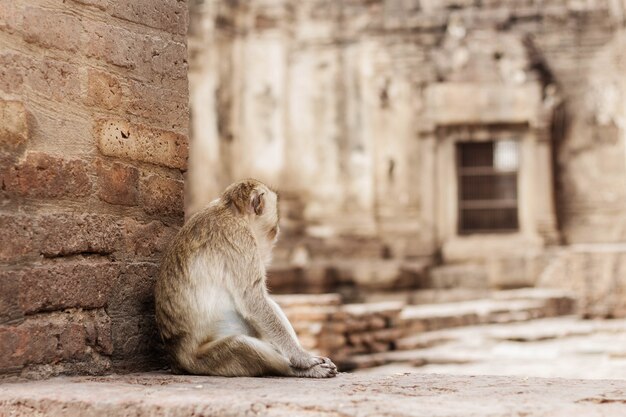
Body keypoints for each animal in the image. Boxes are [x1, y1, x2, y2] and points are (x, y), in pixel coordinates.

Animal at [154, 179, 336, 376]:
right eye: (273, 229)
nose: (278, 232)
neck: (230, 210)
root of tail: (177, 362)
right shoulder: (240, 238)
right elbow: (252, 300)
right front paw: (302, 358)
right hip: (204, 361)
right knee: (240, 345)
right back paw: (299, 370)